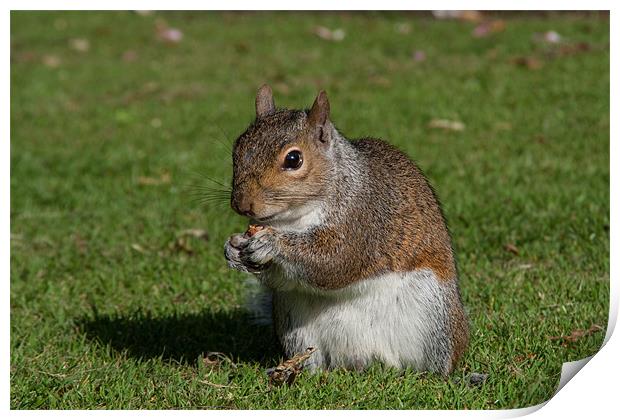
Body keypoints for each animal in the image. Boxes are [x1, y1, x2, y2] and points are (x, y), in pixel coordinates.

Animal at [225, 85, 468, 374]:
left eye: (294, 159)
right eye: (237, 147)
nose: (241, 204)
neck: (295, 219)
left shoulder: (364, 220)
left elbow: (336, 262)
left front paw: (272, 243)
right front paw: (233, 249)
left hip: (434, 317)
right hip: (293, 322)